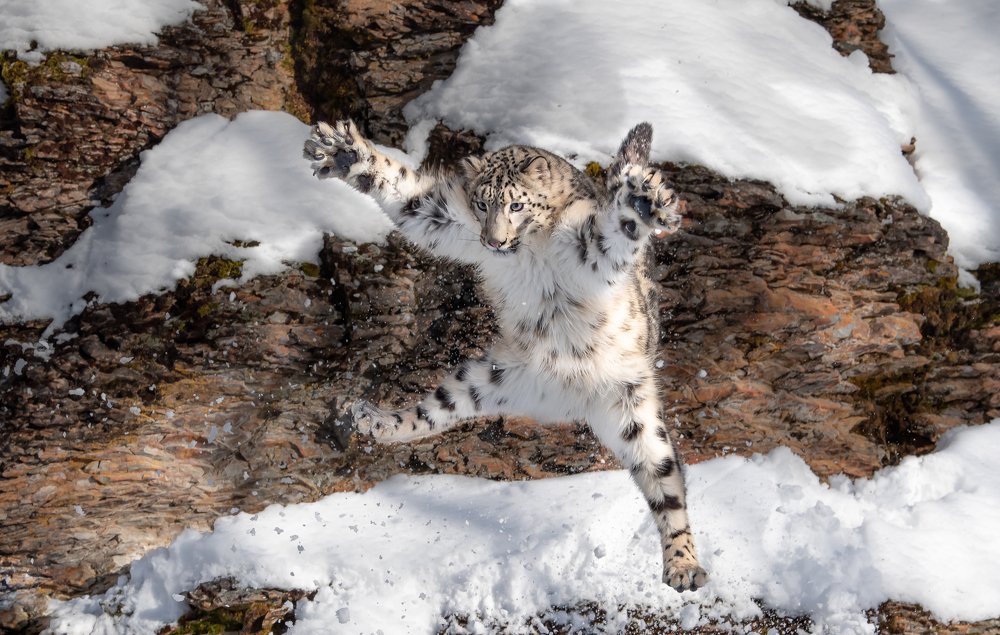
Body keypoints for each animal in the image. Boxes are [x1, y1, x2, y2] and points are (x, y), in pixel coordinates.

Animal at [303, 119, 707, 592]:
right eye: (482, 203)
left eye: (516, 204)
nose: (493, 242)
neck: (529, 252)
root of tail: (567, 401)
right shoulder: (445, 218)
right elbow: (408, 196)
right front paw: (344, 152)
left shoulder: (588, 246)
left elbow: (614, 230)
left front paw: (643, 201)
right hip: (486, 377)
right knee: (430, 413)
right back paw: (372, 420)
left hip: (634, 411)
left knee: (665, 485)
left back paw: (683, 566)